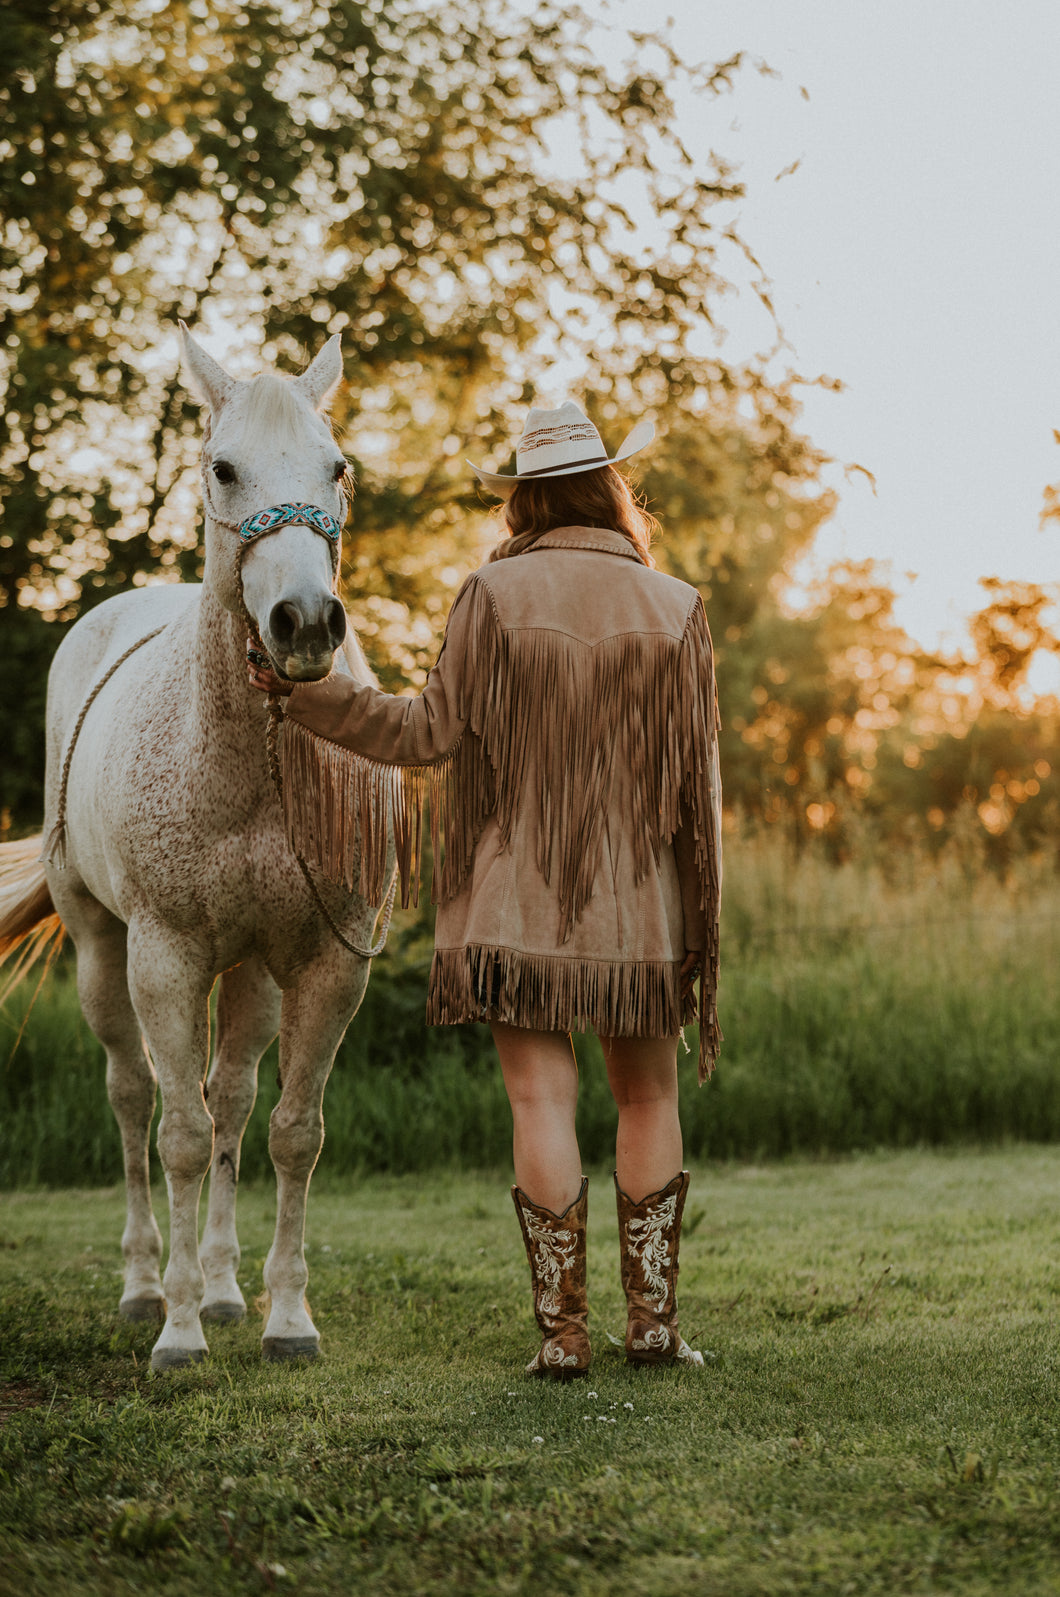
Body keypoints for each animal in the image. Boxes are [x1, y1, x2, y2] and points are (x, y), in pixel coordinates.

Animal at [0, 327, 389, 1373]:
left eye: (338, 467)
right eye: (224, 468)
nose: (306, 622)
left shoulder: (326, 965)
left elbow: (292, 1131)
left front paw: (286, 1316)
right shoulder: (166, 957)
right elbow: (177, 1131)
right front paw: (176, 1331)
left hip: (250, 970)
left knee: (235, 1100)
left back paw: (220, 1286)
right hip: (102, 951)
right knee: (135, 1099)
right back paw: (147, 1286)